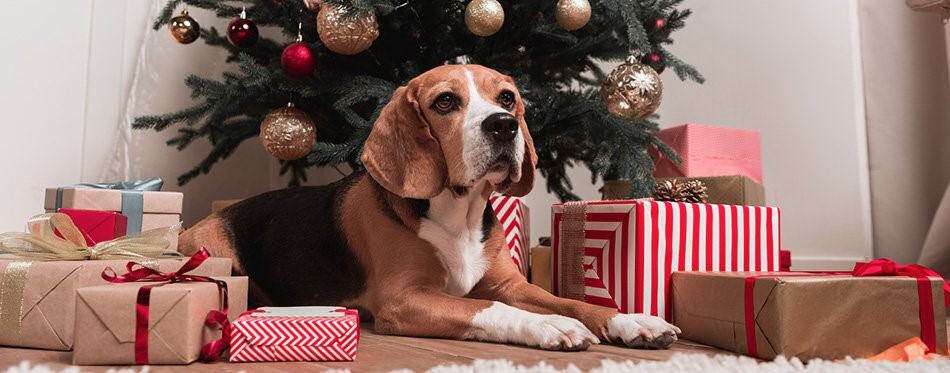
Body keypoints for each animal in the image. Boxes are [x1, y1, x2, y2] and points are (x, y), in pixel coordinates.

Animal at [180, 63, 684, 348]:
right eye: (445, 102)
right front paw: (551, 328)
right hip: (220, 252)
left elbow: (569, 300)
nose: (504, 126)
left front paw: (627, 319)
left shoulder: (511, 285)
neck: (456, 215)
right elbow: (488, 309)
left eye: (507, 98)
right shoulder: (405, 300)